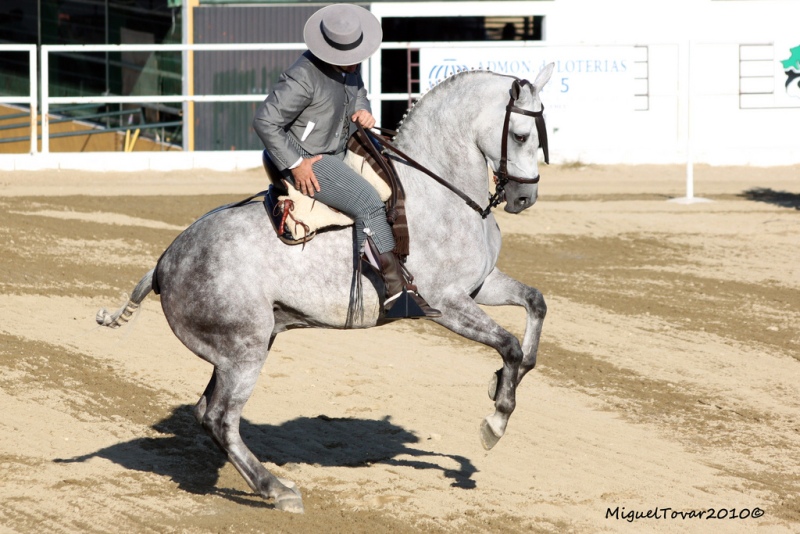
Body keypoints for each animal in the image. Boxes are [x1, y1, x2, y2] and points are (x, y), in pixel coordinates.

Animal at [97, 65, 552, 512]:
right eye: (521, 135)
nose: (525, 198)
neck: (439, 192)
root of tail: (165, 262)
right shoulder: (447, 303)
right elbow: (509, 344)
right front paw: (496, 419)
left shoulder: (480, 286)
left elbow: (535, 305)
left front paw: (501, 381)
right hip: (243, 354)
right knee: (221, 419)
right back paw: (277, 489)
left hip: (236, 352)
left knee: (205, 412)